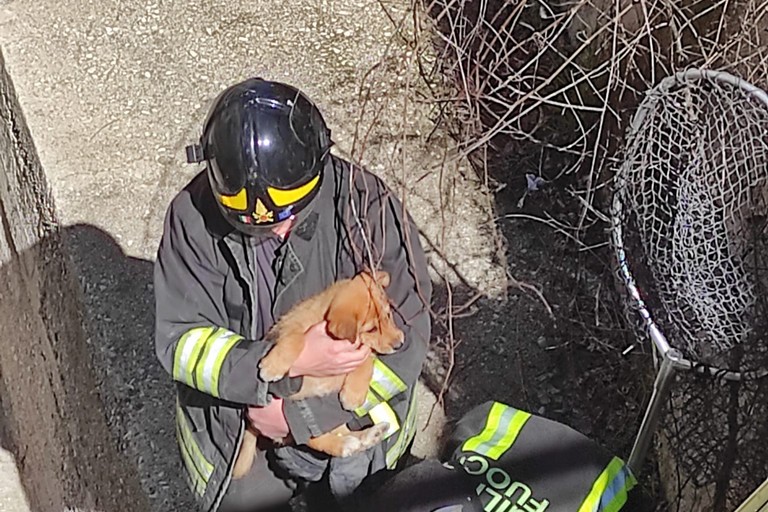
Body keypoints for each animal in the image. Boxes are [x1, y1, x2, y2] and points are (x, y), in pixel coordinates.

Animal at [232, 272, 402, 480]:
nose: (400, 344)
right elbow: (297, 338)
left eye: (388, 315)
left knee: (336, 433)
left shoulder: (360, 351)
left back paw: (369, 436)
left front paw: (353, 395)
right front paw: (273, 366)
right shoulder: (289, 326)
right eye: (371, 329)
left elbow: (366, 360)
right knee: (312, 439)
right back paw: (347, 444)